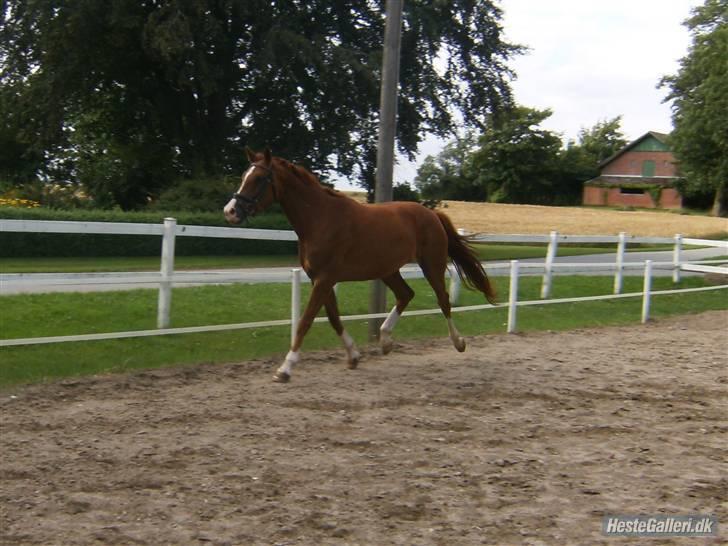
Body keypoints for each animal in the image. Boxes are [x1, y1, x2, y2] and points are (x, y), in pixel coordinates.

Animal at [225, 147, 492, 380]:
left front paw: (285, 369)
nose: (230, 211)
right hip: (387, 270)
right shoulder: (319, 279)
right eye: (244, 177)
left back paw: (458, 342)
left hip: (431, 265)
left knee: (443, 300)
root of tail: (431, 214)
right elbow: (333, 318)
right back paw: (385, 341)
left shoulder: (324, 279)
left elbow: (305, 322)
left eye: (259, 178)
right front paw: (353, 356)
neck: (320, 219)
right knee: (406, 294)